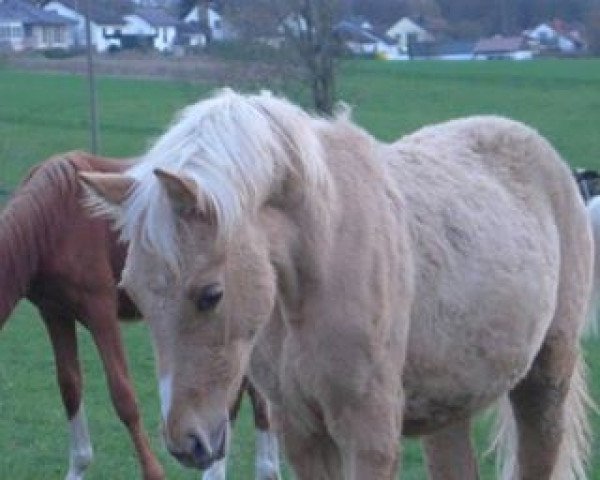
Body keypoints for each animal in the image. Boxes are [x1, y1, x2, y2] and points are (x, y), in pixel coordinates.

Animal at [0, 153, 280, 480]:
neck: (53, 221)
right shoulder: (54, 312)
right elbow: (70, 386)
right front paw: (78, 465)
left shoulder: (100, 311)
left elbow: (123, 396)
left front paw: (154, 471)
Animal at [83, 91, 596, 480]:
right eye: (135, 293)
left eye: (211, 295)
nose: (185, 443)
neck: (317, 264)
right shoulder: (302, 432)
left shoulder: (367, 435)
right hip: (450, 407)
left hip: (545, 384)